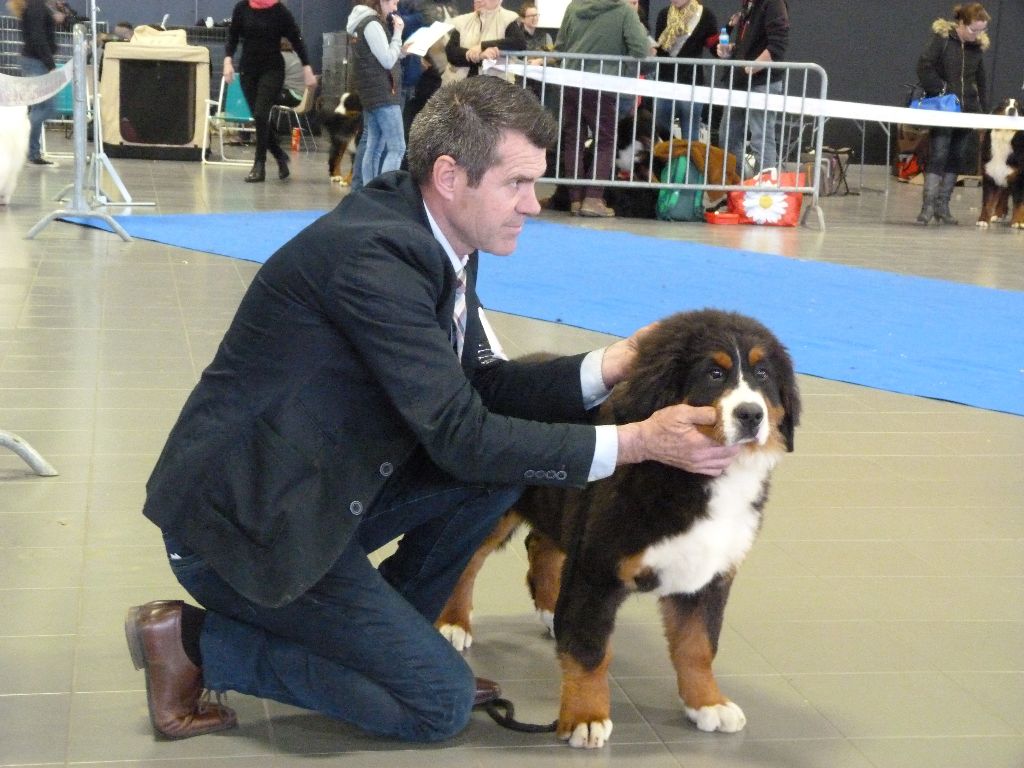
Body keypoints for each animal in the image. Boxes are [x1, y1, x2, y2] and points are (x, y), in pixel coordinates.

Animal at [436, 309, 802, 749]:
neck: (695, 478)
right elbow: (591, 650)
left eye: (762, 373)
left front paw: (708, 703)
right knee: (468, 559)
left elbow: (698, 645)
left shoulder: (708, 574)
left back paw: (551, 609)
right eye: (714, 373)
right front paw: (586, 716)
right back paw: (454, 622)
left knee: (541, 544)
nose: (750, 414)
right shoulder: (597, 568)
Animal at [974, 97, 1024, 228]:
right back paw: (998, 213)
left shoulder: (1019, 178)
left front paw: (1018, 221)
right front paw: (983, 220)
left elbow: (1019, 202)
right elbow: (987, 202)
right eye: (1004, 105)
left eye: (1017, 106)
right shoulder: (990, 176)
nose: (1012, 110)